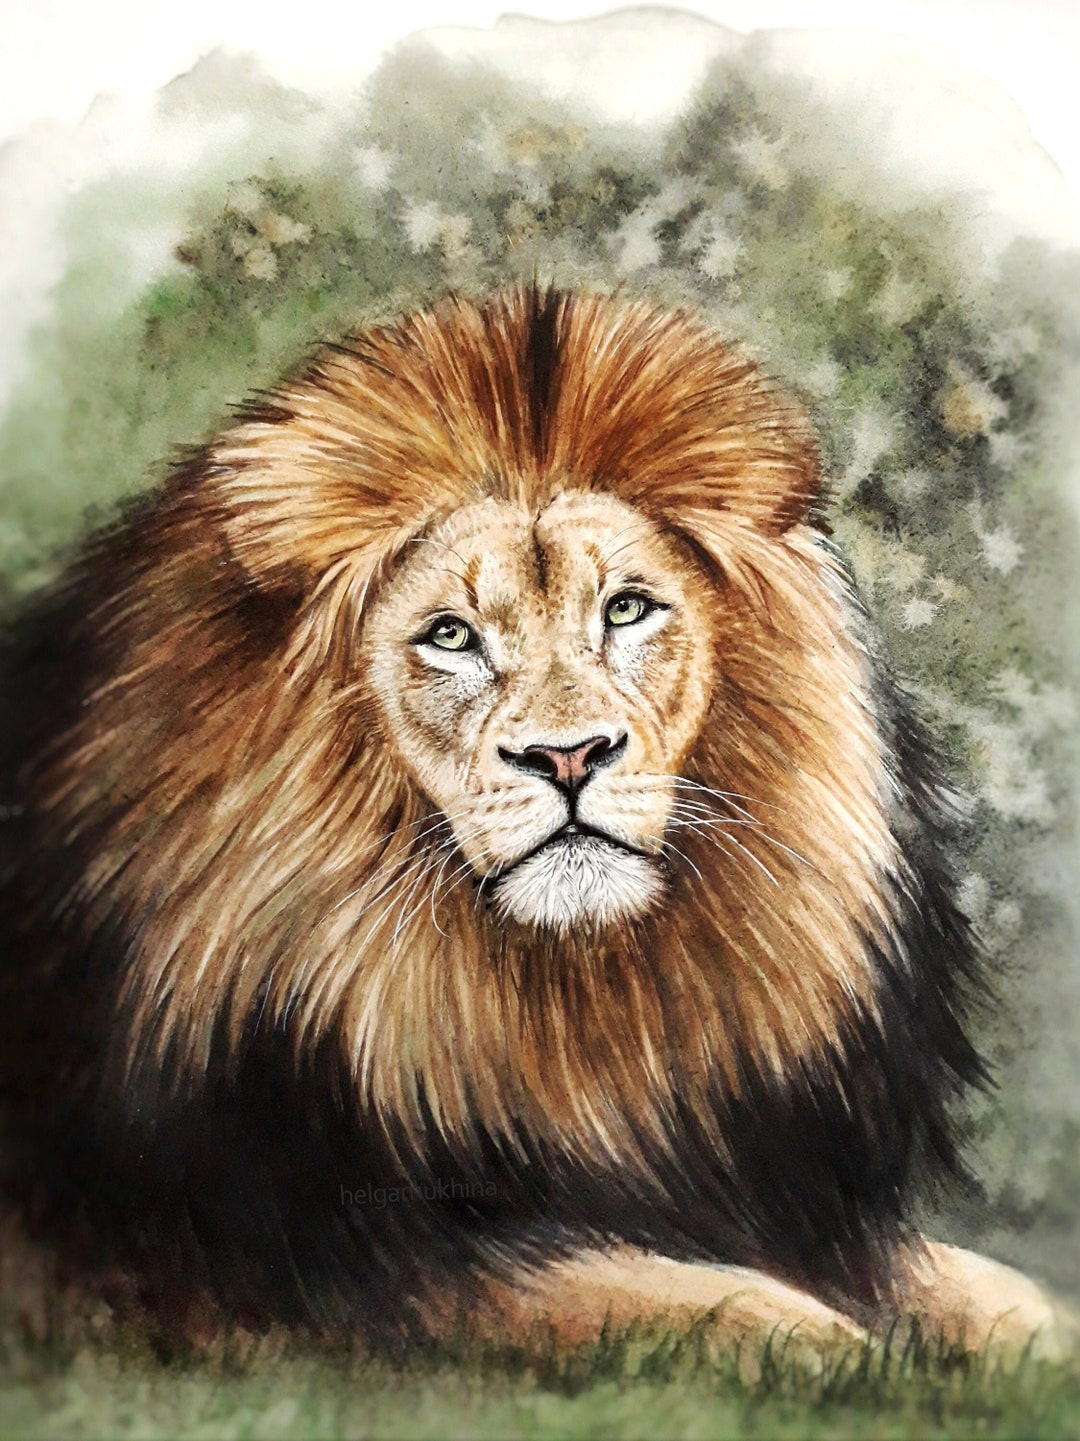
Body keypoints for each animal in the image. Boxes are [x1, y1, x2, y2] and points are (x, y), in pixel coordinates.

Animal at [0, 285, 1071, 1360]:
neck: (558, 1011)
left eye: (628, 610)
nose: (568, 758)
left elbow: (972, 1287)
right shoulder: (330, 1270)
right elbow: (658, 1294)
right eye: (450, 635)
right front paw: (837, 1347)